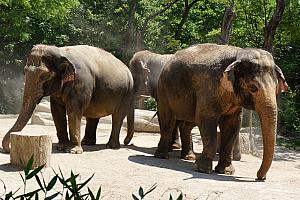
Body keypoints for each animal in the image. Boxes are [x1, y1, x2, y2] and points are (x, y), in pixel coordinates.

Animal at [1, 44, 134, 153]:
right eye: (25, 72)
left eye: (45, 76)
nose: (10, 147)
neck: (61, 52)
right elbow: (56, 111)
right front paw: (60, 147)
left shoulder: (80, 82)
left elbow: (73, 110)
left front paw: (73, 151)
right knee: (93, 116)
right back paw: (87, 143)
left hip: (126, 92)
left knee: (118, 117)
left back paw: (111, 146)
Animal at [155, 43, 288, 180]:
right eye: (253, 87)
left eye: (276, 87)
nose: (259, 177)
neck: (238, 54)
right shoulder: (208, 87)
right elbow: (205, 120)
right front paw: (203, 169)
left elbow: (232, 124)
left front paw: (226, 171)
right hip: (163, 90)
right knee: (168, 121)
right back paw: (162, 156)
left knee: (187, 125)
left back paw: (189, 157)